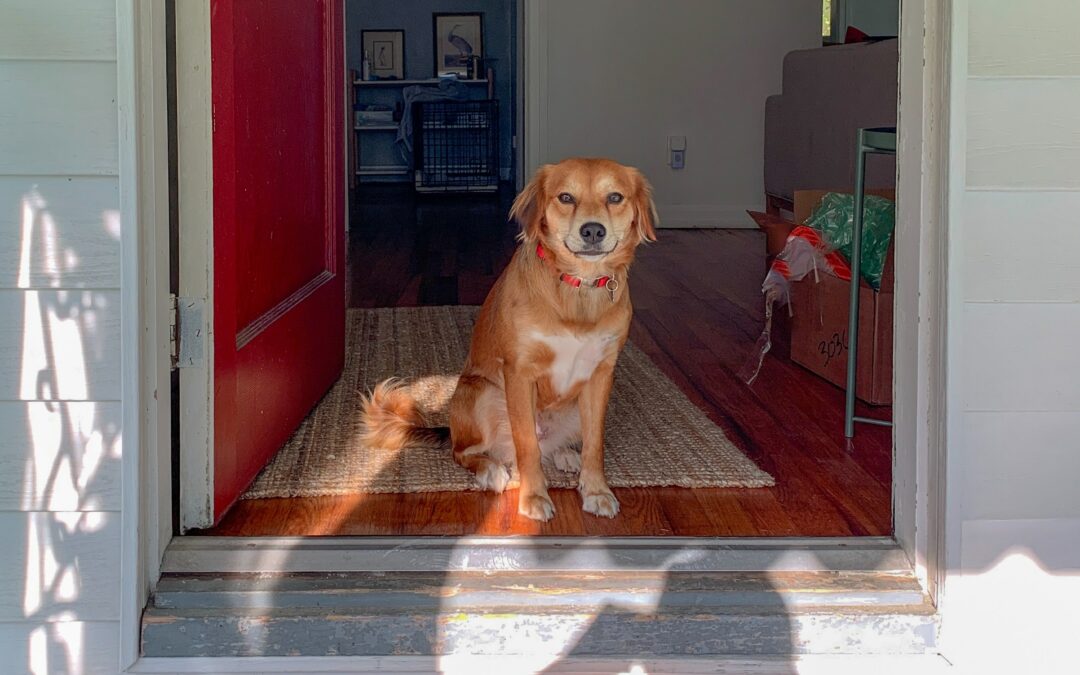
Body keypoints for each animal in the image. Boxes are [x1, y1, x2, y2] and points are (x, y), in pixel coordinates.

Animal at [360, 157, 656, 520]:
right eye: (566, 197)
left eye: (615, 198)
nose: (592, 231)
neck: (577, 288)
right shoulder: (519, 373)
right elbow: (527, 444)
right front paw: (534, 497)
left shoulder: (601, 375)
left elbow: (594, 442)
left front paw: (596, 490)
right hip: (482, 393)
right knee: (466, 451)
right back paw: (491, 470)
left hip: (572, 405)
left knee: (555, 446)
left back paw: (565, 454)